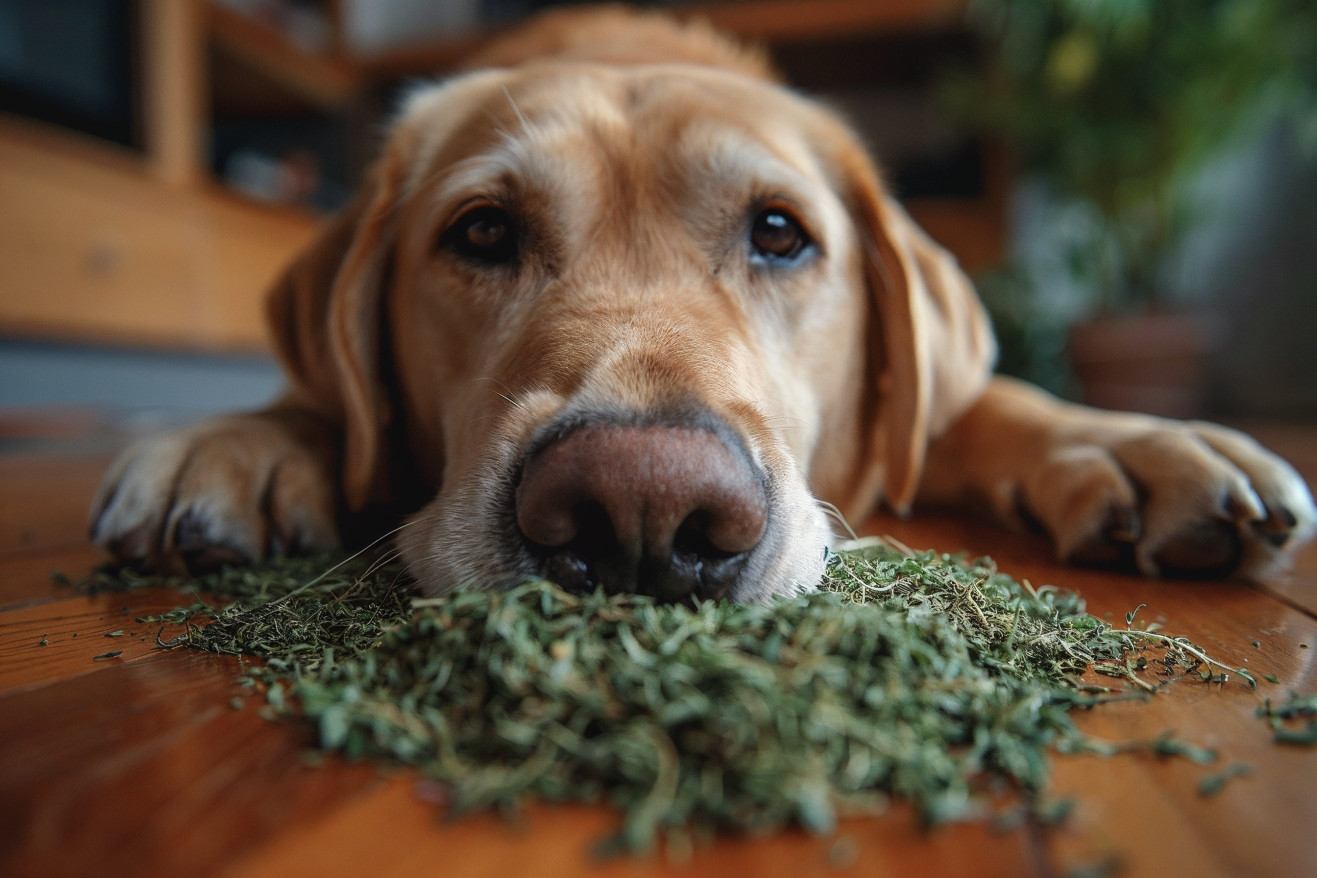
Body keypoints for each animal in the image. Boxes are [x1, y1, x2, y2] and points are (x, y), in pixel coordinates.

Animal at [87, 8, 1311, 605]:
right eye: (481, 232)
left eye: (779, 232)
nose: (640, 510)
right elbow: (318, 406)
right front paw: (236, 443)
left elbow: (991, 400)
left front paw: (1136, 444)